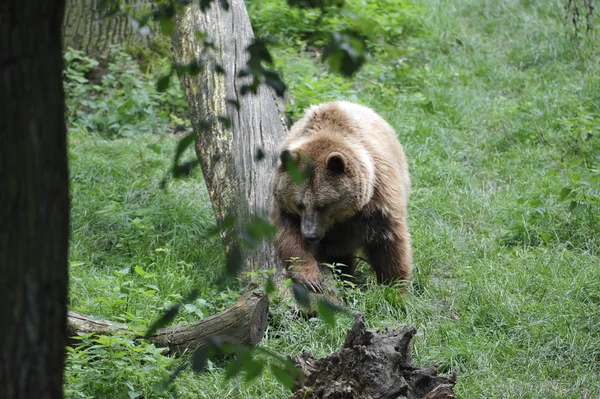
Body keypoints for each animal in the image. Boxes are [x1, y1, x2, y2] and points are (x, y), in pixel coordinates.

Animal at [272, 101, 412, 292]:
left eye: (323, 205)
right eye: (299, 204)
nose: (310, 234)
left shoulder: (378, 199)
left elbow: (388, 242)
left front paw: (394, 286)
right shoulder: (287, 209)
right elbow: (290, 237)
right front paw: (310, 278)